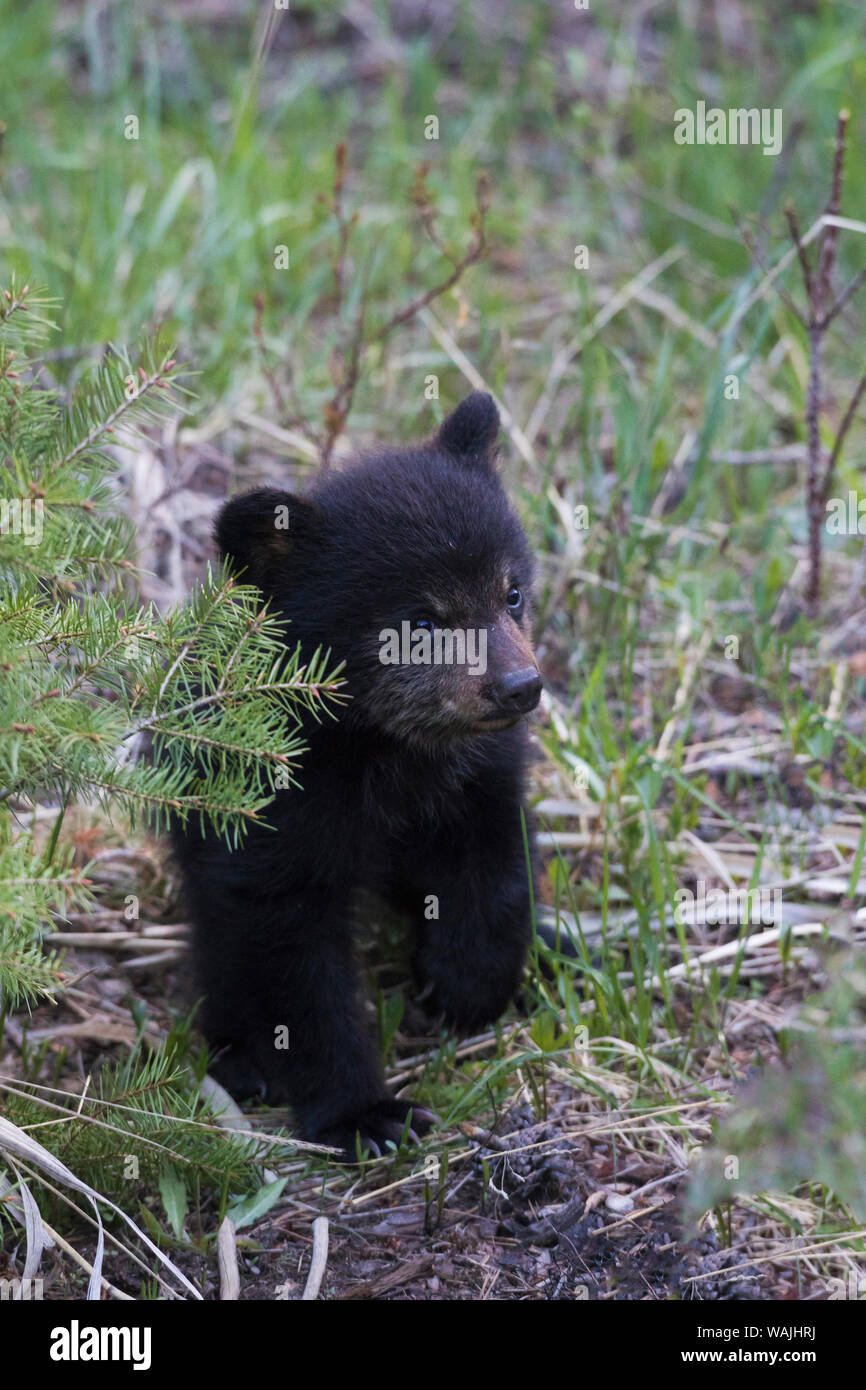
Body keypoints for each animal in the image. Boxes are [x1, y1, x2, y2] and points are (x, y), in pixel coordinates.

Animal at [170, 392, 542, 1159]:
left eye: (512, 592)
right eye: (422, 622)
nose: (522, 687)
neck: (389, 748)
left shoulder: (484, 773)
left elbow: (497, 861)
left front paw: (470, 985)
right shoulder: (272, 814)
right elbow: (294, 967)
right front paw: (365, 1114)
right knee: (218, 945)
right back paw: (238, 1059)